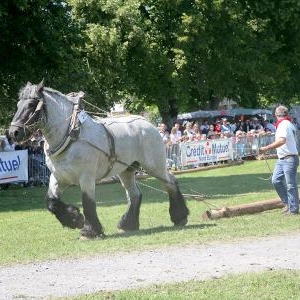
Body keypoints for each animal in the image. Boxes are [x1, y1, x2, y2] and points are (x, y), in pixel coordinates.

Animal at [10, 82, 189, 239]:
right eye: (18, 104)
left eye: (31, 104)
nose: (13, 132)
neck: (71, 135)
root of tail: (147, 123)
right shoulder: (59, 177)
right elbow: (51, 201)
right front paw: (75, 219)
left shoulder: (86, 178)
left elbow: (88, 202)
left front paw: (88, 231)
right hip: (127, 170)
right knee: (135, 194)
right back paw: (127, 225)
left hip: (154, 166)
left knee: (170, 183)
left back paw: (180, 217)